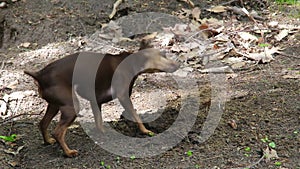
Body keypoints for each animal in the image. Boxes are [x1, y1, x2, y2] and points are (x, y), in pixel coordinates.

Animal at [24, 45, 179, 156]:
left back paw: (48, 141)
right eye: (162, 56)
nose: (177, 64)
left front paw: (103, 133)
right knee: (58, 132)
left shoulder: (96, 101)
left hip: (55, 105)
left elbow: (99, 121)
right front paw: (146, 131)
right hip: (71, 107)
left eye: (165, 54)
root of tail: (40, 75)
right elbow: (136, 116)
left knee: (43, 123)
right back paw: (68, 153)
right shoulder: (124, 97)